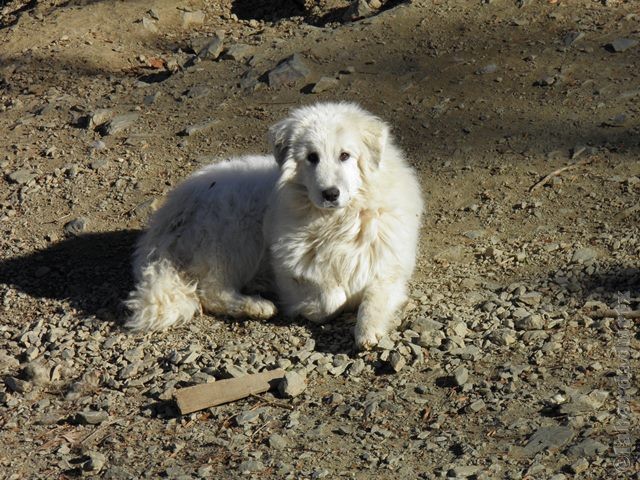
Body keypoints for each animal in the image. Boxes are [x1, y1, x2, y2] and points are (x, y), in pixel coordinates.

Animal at [127, 102, 422, 348]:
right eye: (312, 157)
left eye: (345, 155)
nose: (330, 194)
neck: (337, 221)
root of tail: (167, 214)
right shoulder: (290, 273)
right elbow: (331, 299)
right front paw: (318, 306)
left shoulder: (387, 269)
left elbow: (374, 299)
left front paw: (368, 332)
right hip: (236, 234)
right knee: (211, 291)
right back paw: (258, 305)